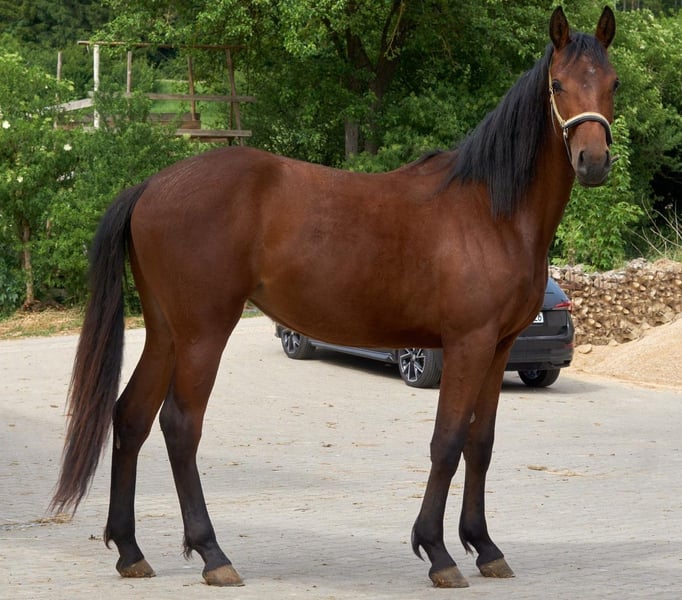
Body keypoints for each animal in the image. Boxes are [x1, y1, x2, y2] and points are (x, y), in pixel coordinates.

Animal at [51, 6, 618, 589]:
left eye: (613, 83)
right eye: (557, 84)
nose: (593, 161)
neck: (492, 210)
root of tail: (150, 187)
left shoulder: (499, 347)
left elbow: (480, 444)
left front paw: (484, 546)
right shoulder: (468, 344)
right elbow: (447, 442)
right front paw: (437, 551)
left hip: (166, 332)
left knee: (131, 418)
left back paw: (130, 550)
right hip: (202, 334)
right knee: (180, 426)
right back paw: (213, 554)